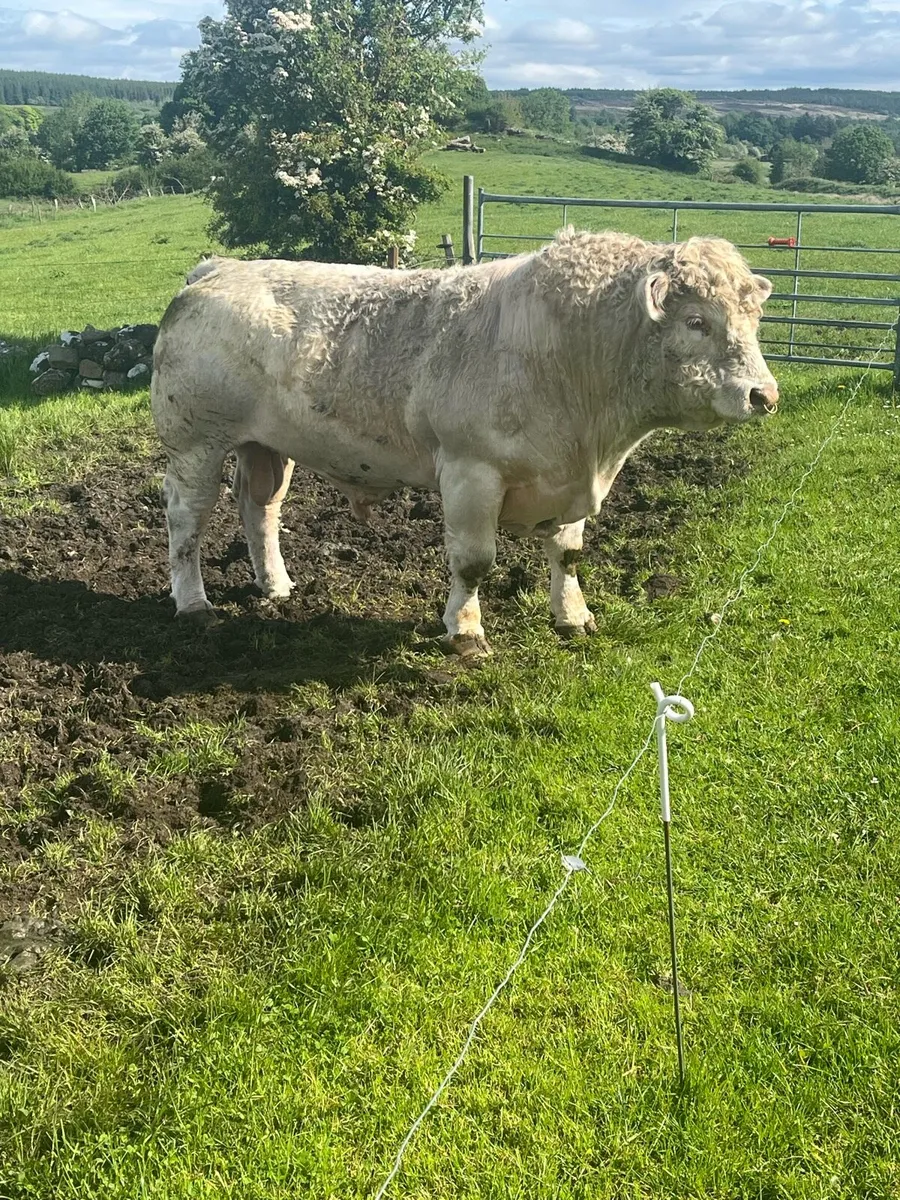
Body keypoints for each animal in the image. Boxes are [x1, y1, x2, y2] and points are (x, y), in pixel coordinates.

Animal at [150, 229, 778, 657]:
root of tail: (217, 269)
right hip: (194, 443)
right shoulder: (470, 472)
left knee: (260, 509)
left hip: (265, 445)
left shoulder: (572, 477)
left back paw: (276, 585)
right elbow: (474, 562)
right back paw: (194, 603)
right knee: (187, 519)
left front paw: (572, 616)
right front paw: (466, 631)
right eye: (696, 322)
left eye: (754, 319)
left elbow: (568, 553)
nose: (763, 395)